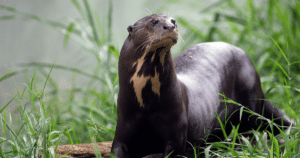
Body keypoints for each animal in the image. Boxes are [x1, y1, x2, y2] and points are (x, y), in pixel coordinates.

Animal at [111, 14, 292, 157]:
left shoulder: (176, 130)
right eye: (154, 21)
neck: (145, 105)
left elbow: (174, 150)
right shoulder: (123, 124)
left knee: (254, 127)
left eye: (173, 20)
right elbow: (117, 149)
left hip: (249, 96)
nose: (170, 26)